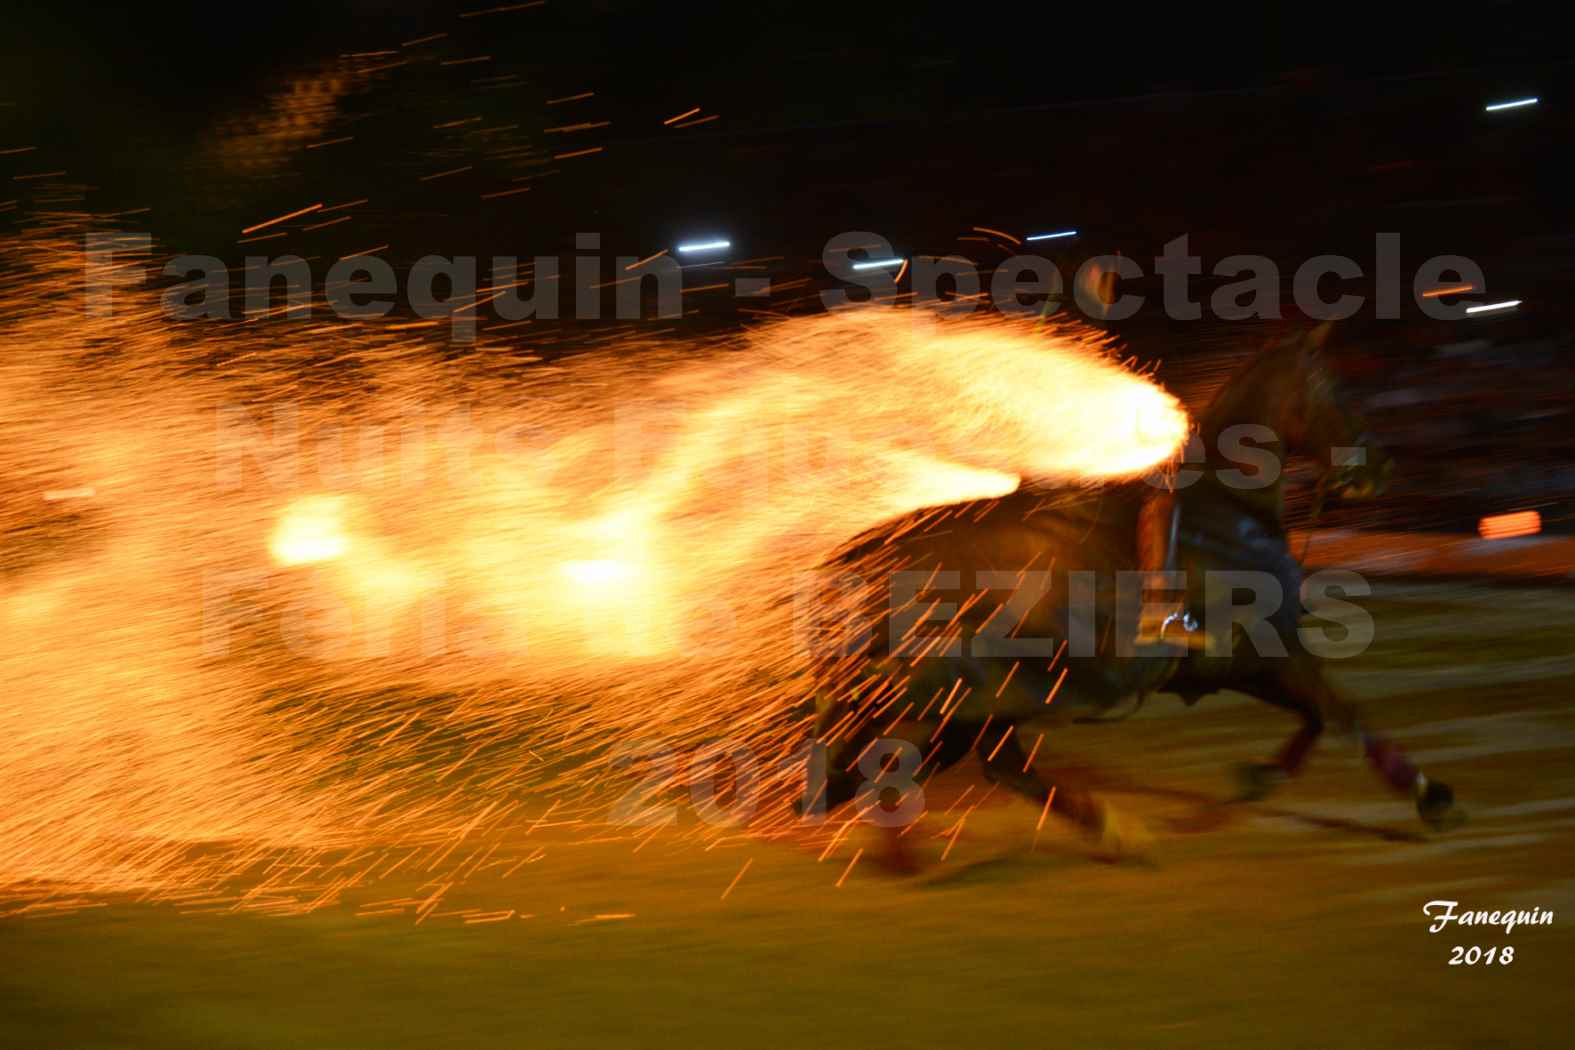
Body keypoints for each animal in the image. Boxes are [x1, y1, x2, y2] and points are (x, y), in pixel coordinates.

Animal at [800, 324, 1461, 856]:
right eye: (1336, 387)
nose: (1378, 468)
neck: (1227, 511)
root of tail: (860, 558)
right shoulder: (1265, 650)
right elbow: (1344, 714)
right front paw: (1431, 796)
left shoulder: (1238, 663)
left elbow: (1320, 718)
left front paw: (1257, 779)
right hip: (976, 687)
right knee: (963, 758)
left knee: (950, 758)